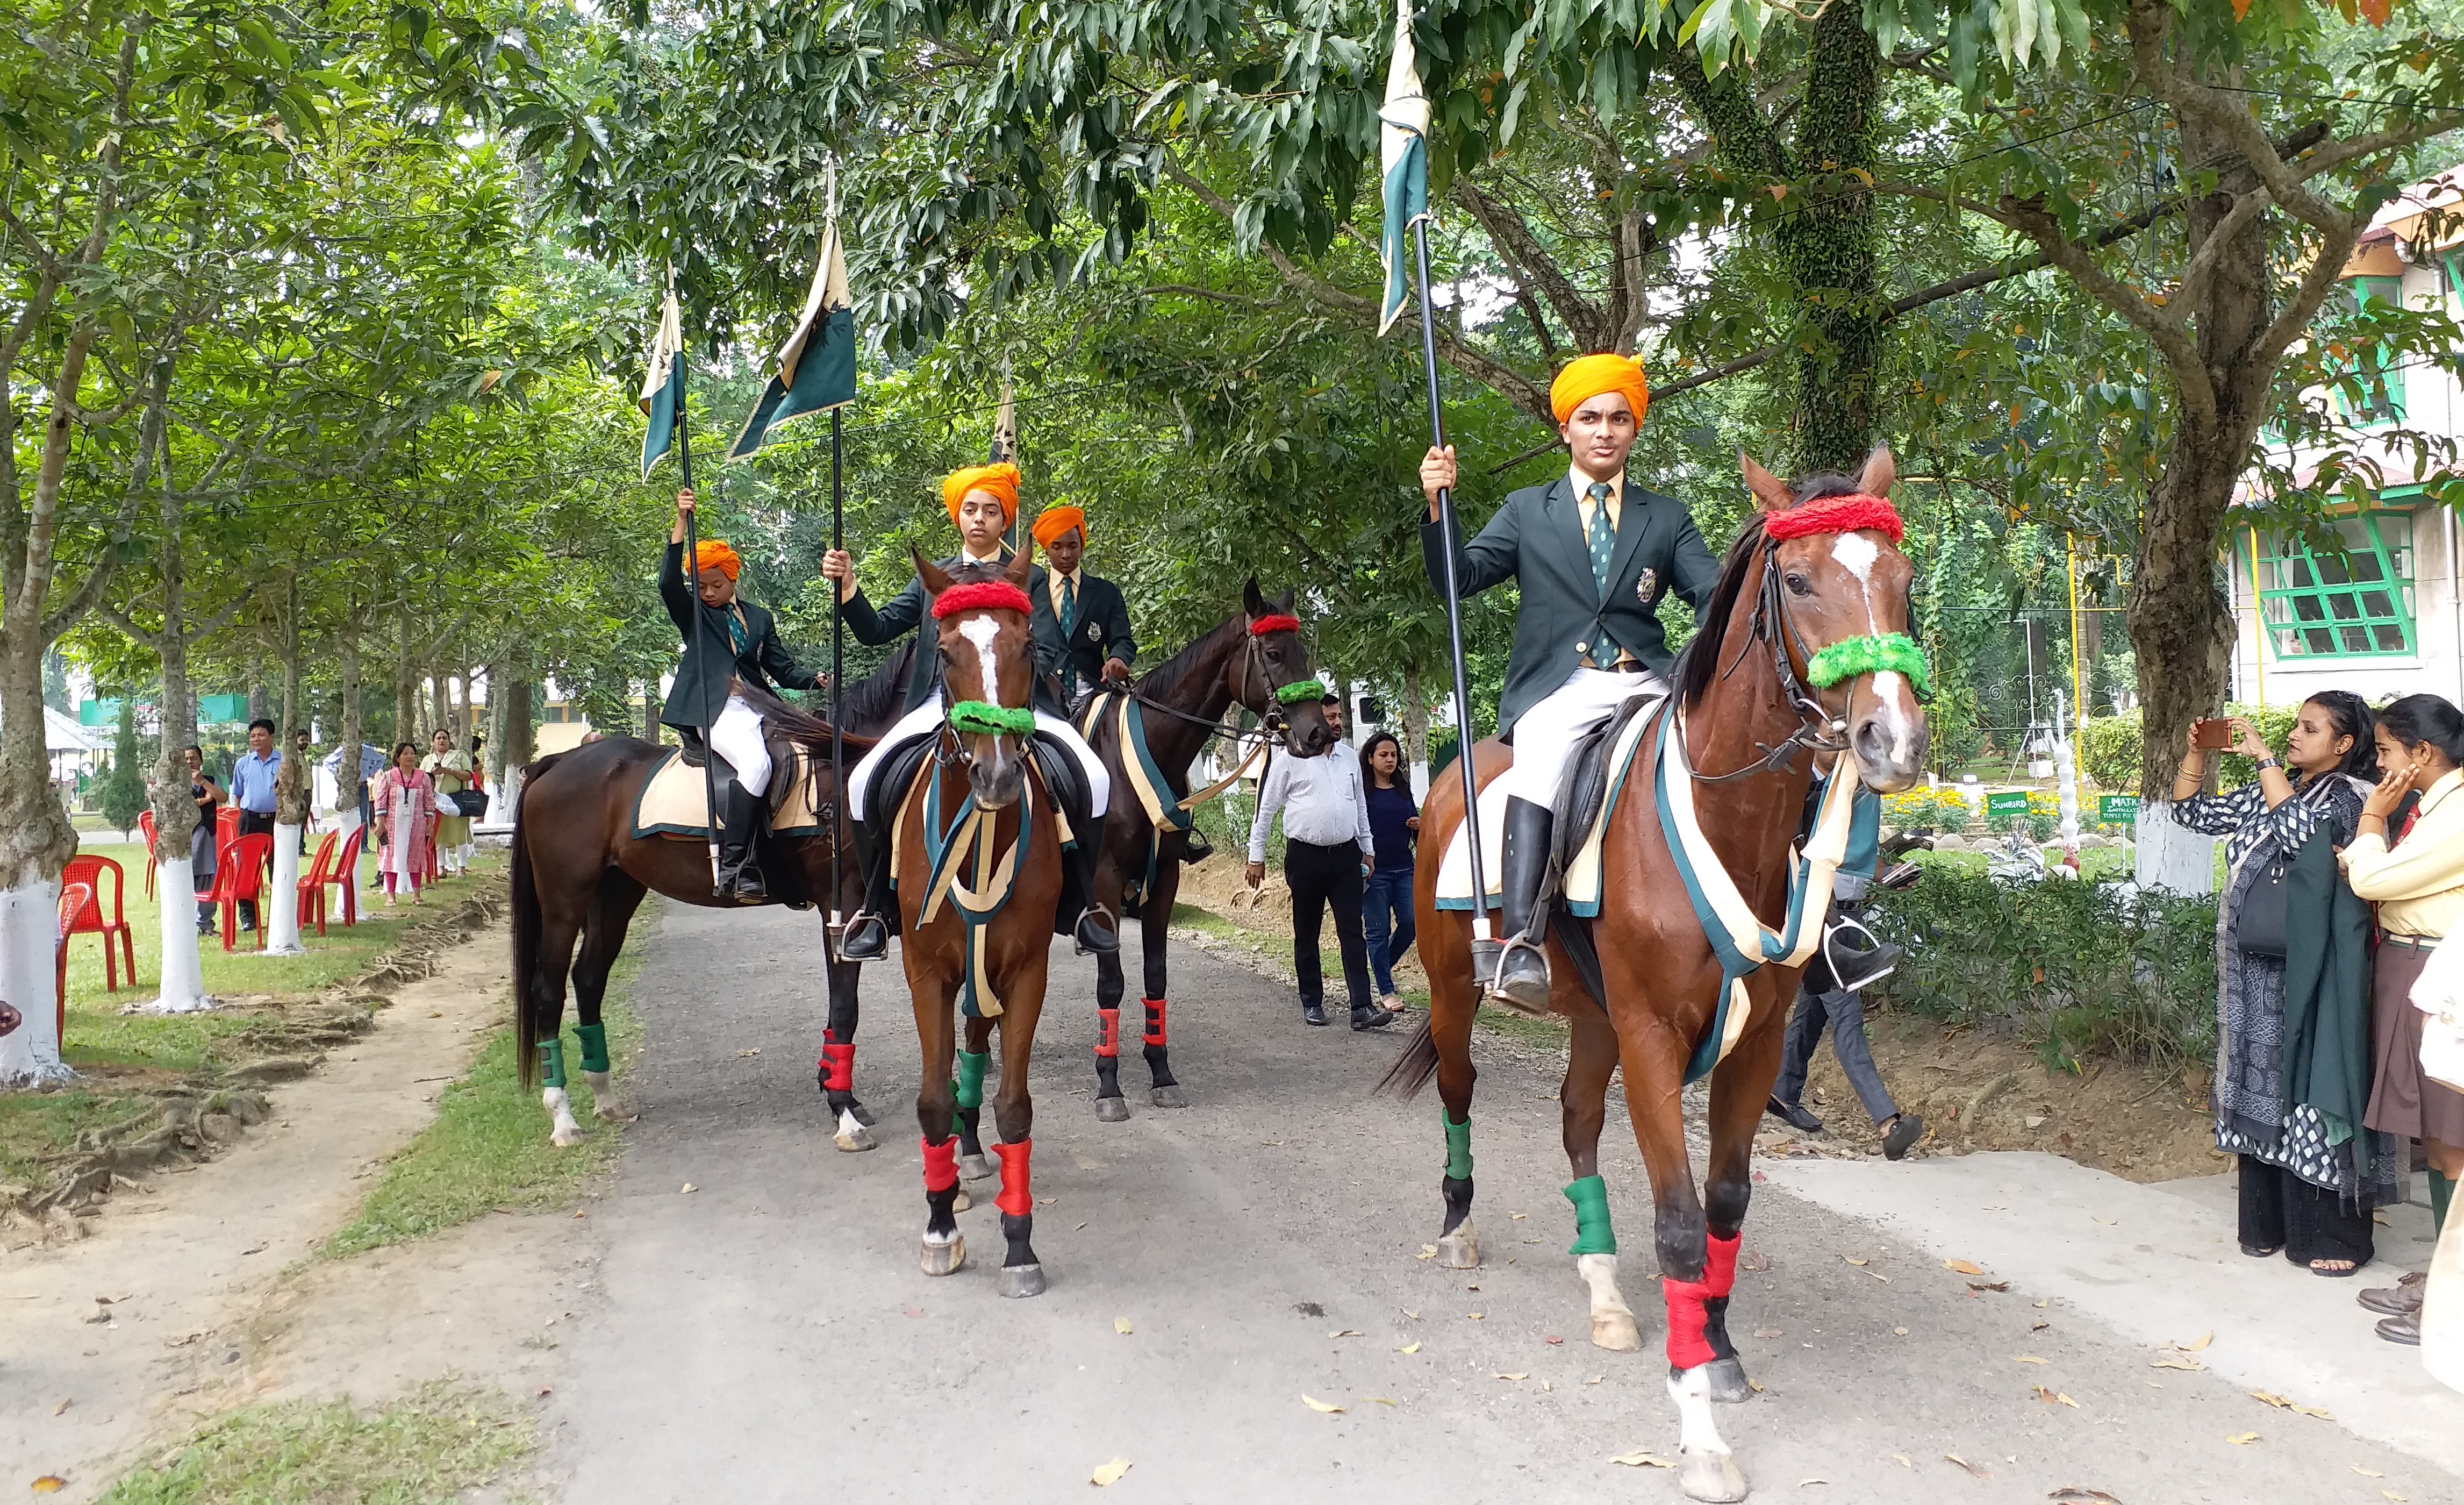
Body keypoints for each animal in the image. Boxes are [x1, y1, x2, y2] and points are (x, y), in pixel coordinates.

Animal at [510, 645, 926, 1152]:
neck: (849, 772)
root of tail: (557, 762)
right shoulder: (841, 907)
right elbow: (845, 1007)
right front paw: (844, 1113)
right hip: (563, 901)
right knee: (549, 990)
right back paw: (563, 1118)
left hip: (614, 895)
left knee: (588, 979)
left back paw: (606, 1098)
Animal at [1079, 576, 1340, 1118]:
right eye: (1274, 653)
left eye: (1304, 653)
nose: (1318, 734)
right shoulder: (1106, 882)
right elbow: (1111, 982)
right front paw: (1109, 1085)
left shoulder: (1164, 881)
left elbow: (1155, 976)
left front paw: (1161, 1075)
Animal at [1389, 448, 1922, 1505]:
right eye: (1799, 582)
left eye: (1903, 578)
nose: (1890, 737)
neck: (1732, 821)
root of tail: (1451, 770)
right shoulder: (1651, 1036)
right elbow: (1676, 1222)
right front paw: (1699, 1429)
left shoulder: (1754, 1040)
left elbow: (1725, 1202)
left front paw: (1715, 1346)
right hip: (1458, 989)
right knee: (1461, 1089)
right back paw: (1460, 1227)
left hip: (1593, 1018)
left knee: (1575, 1119)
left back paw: (1601, 1284)